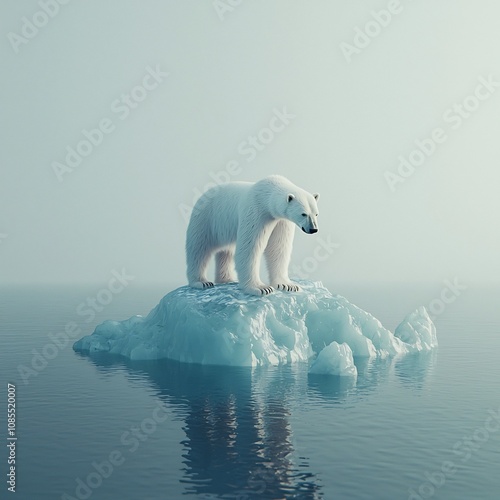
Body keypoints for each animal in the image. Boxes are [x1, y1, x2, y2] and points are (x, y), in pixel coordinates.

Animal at [185, 175, 320, 294]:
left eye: (316, 214)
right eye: (303, 214)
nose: (313, 229)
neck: (266, 194)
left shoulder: (281, 221)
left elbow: (278, 247)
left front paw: (287, 285)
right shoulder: (256, 212)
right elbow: (250, 247)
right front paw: (261, 288)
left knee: (226, 251)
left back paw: (227, 279)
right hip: (206, 219)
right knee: (199, 249)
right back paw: (201, 282)